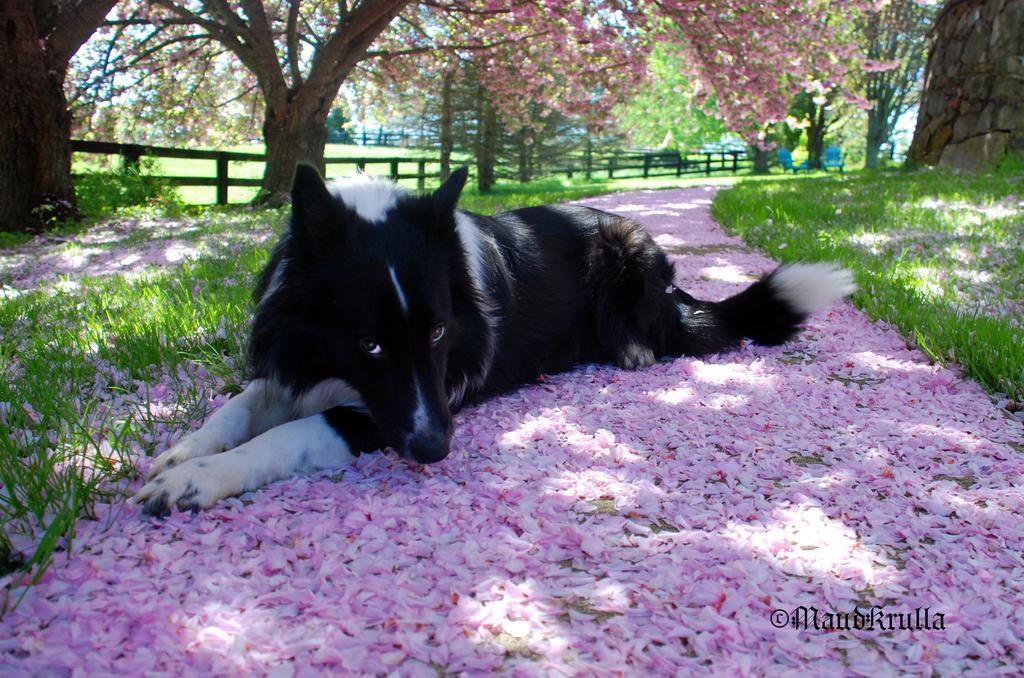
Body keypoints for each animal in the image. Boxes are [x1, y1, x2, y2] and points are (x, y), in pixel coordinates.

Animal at [136, 165, 856, 516]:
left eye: (436, 331)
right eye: (369, 346)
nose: (436, 450)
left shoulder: (397, 409)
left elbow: (293, 432)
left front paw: (200, 479)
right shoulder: (305, 356)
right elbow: (245, 405)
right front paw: (184, 453)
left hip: (627, 247)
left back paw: (633, 348)